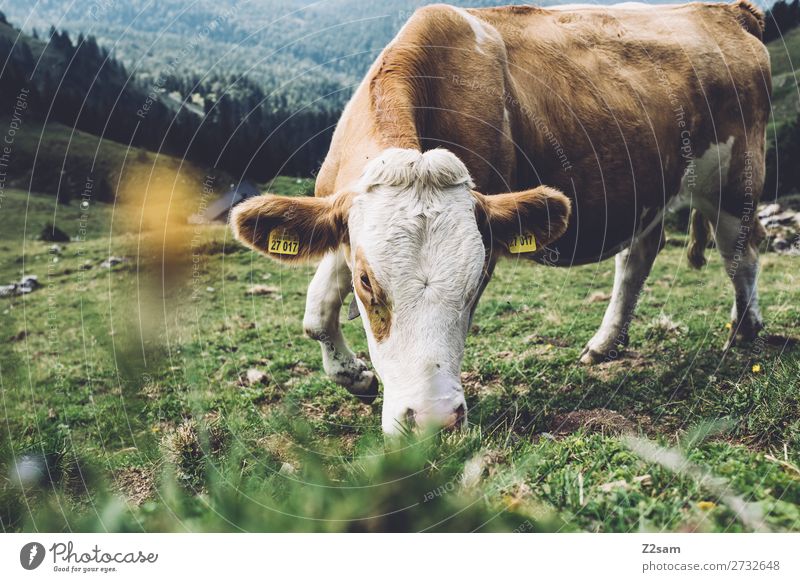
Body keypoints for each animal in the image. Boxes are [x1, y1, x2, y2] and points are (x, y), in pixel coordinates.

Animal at [234, 2, 772, 436]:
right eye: (367, 282)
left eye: (477, 281)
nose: (431, 420)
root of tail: (728, 11)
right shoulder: (343, 228)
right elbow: (317, 310)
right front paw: (358, 377)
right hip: (652, 186)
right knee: (638, 256)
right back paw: (606, 344)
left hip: (736, 175)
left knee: (741, 250)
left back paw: (744, 329)